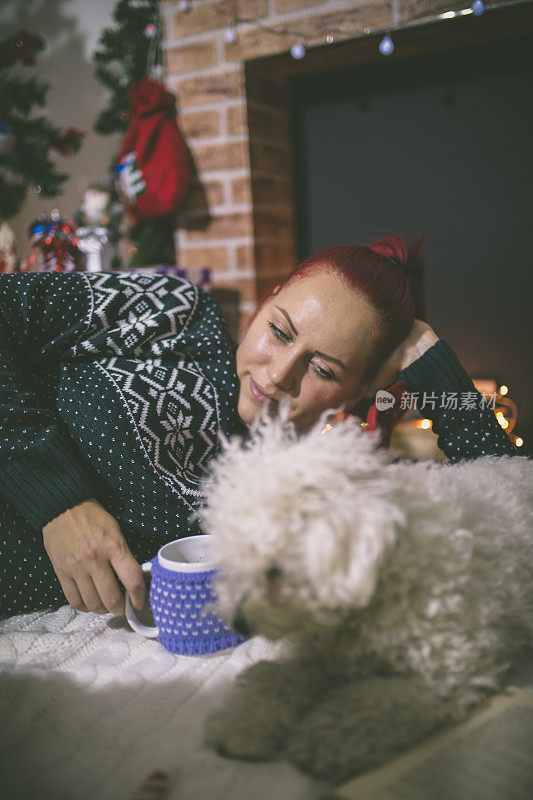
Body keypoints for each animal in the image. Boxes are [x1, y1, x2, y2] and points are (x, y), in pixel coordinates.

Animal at [198, 410, 532, 784]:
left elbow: (374, 702)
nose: (238, 622)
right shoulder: (321, 654)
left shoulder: (450, 665)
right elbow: (281, 679)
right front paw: (245, 721)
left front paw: (327, 737)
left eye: (275, 570)